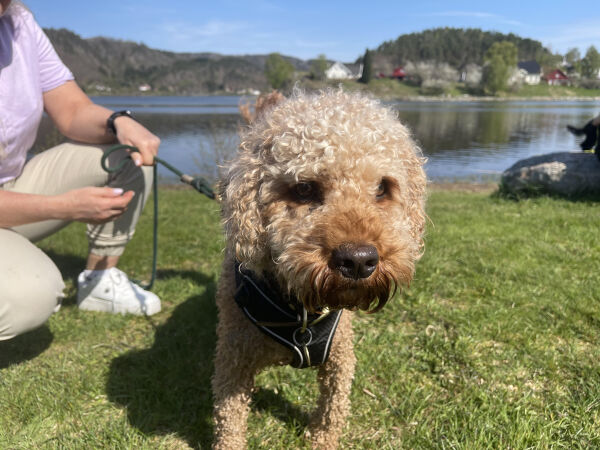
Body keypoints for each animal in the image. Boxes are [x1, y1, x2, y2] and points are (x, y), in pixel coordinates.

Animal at [211, 89, 426, 448]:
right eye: (304, 188)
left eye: (383, 187)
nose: (359, 261)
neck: (298, 308)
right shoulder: (232, 363)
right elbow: (229, 423)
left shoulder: (340, 357)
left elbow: (333, 407)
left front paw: (322, 439)